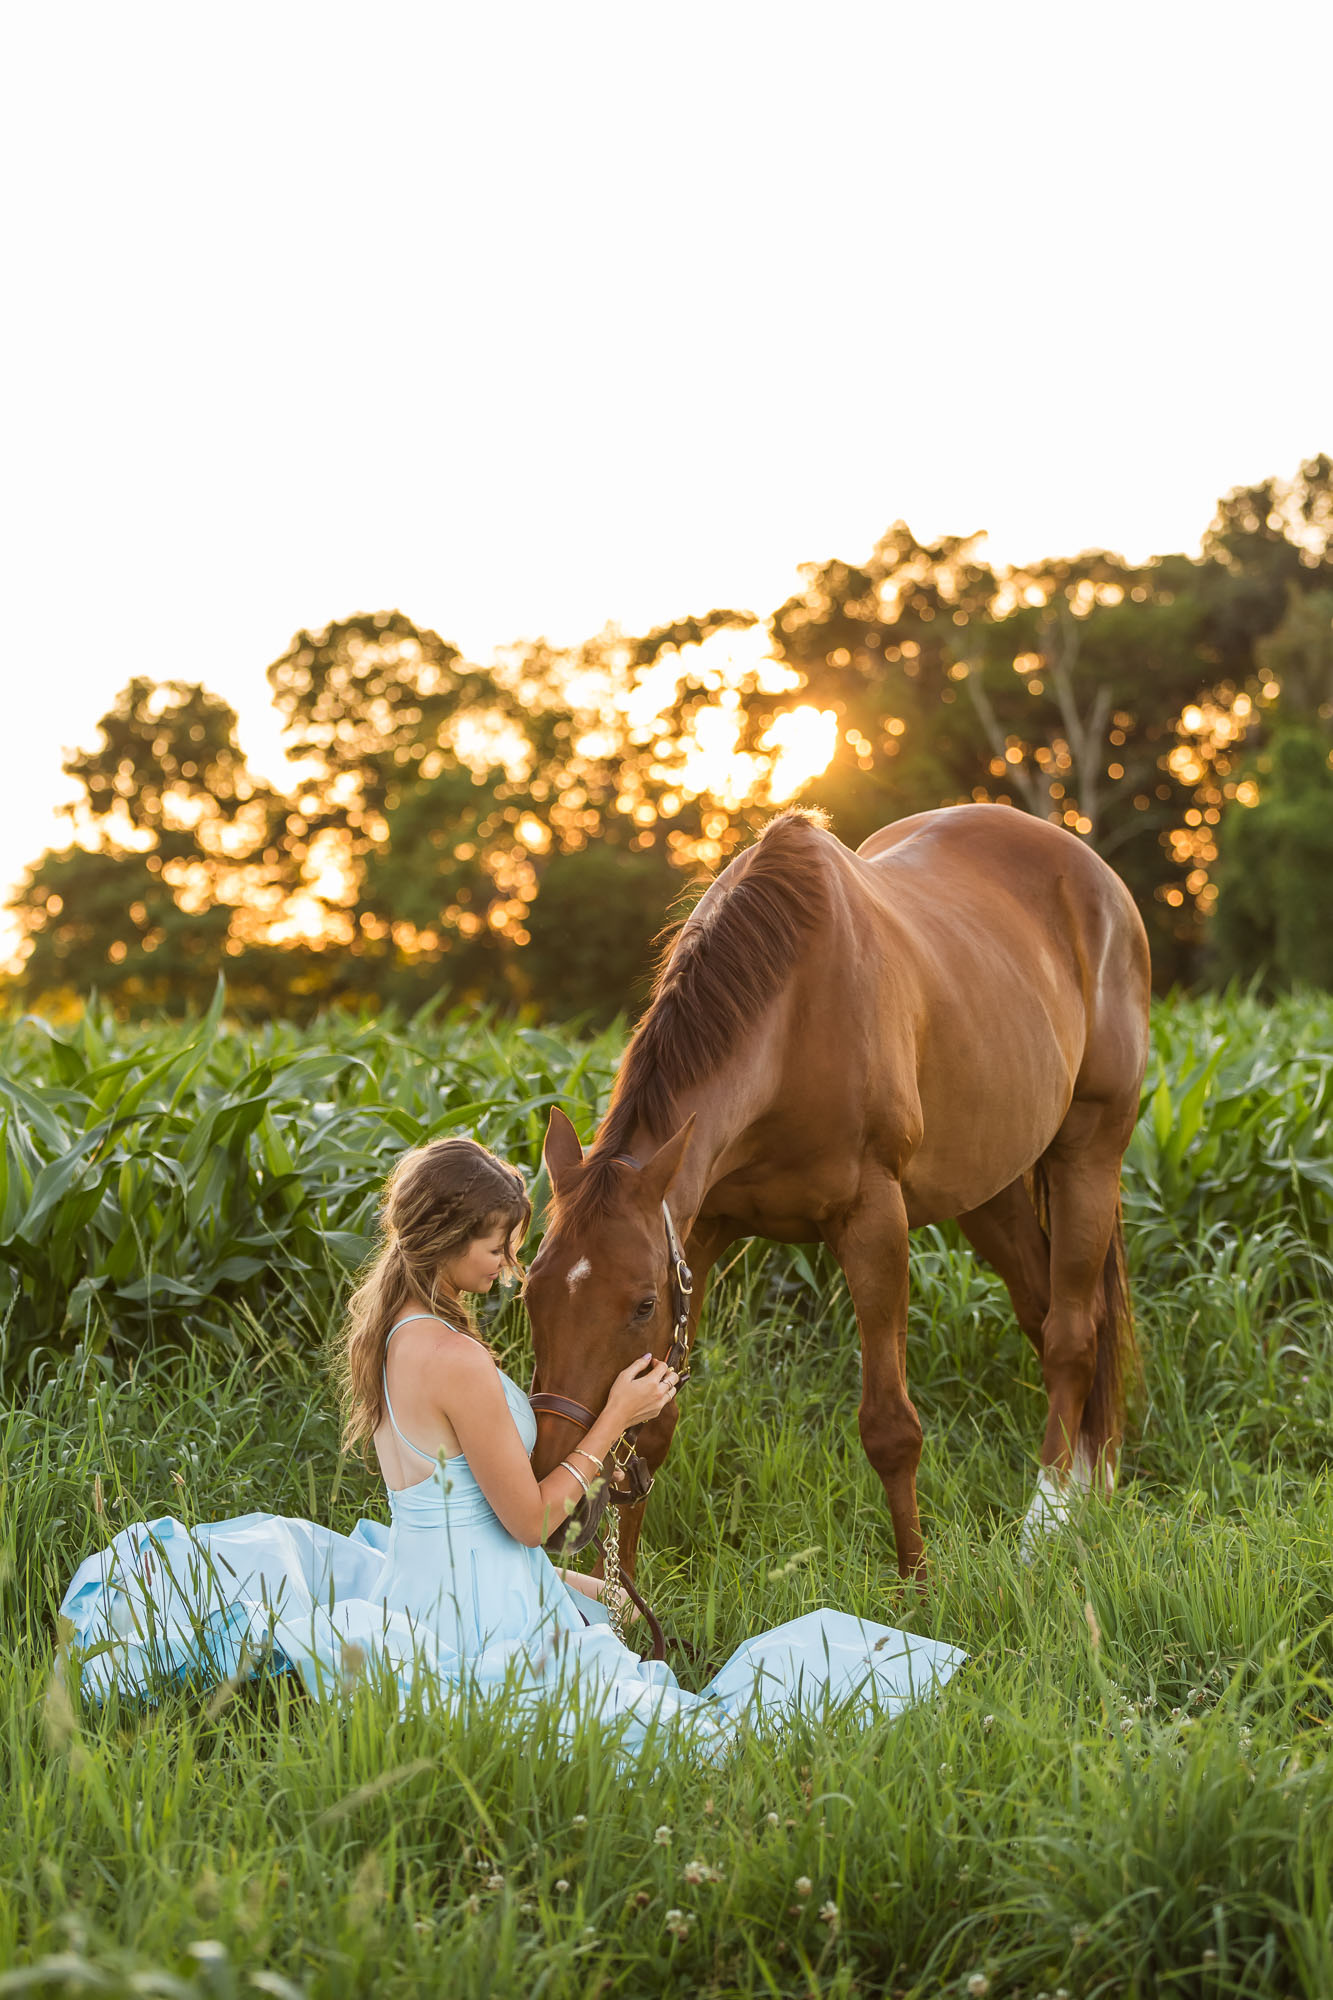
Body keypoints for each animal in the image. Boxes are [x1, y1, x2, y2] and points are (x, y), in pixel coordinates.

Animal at [524, 800, 1144, 1576]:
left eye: (640, 1305)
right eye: (529, 1292)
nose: (554, 1510)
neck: (793, 1020)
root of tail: (1097, 878)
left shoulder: (872, 1221)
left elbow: (890, 1428)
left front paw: (916, 1587)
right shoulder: (698, 1231)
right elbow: (655, 1429)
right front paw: (622, 1595)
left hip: (1088, 1153)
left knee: (1071, 1333)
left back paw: (1048, 1522)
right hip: (989, 1191)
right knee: (1047, 1315)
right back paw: (1088, 1493)